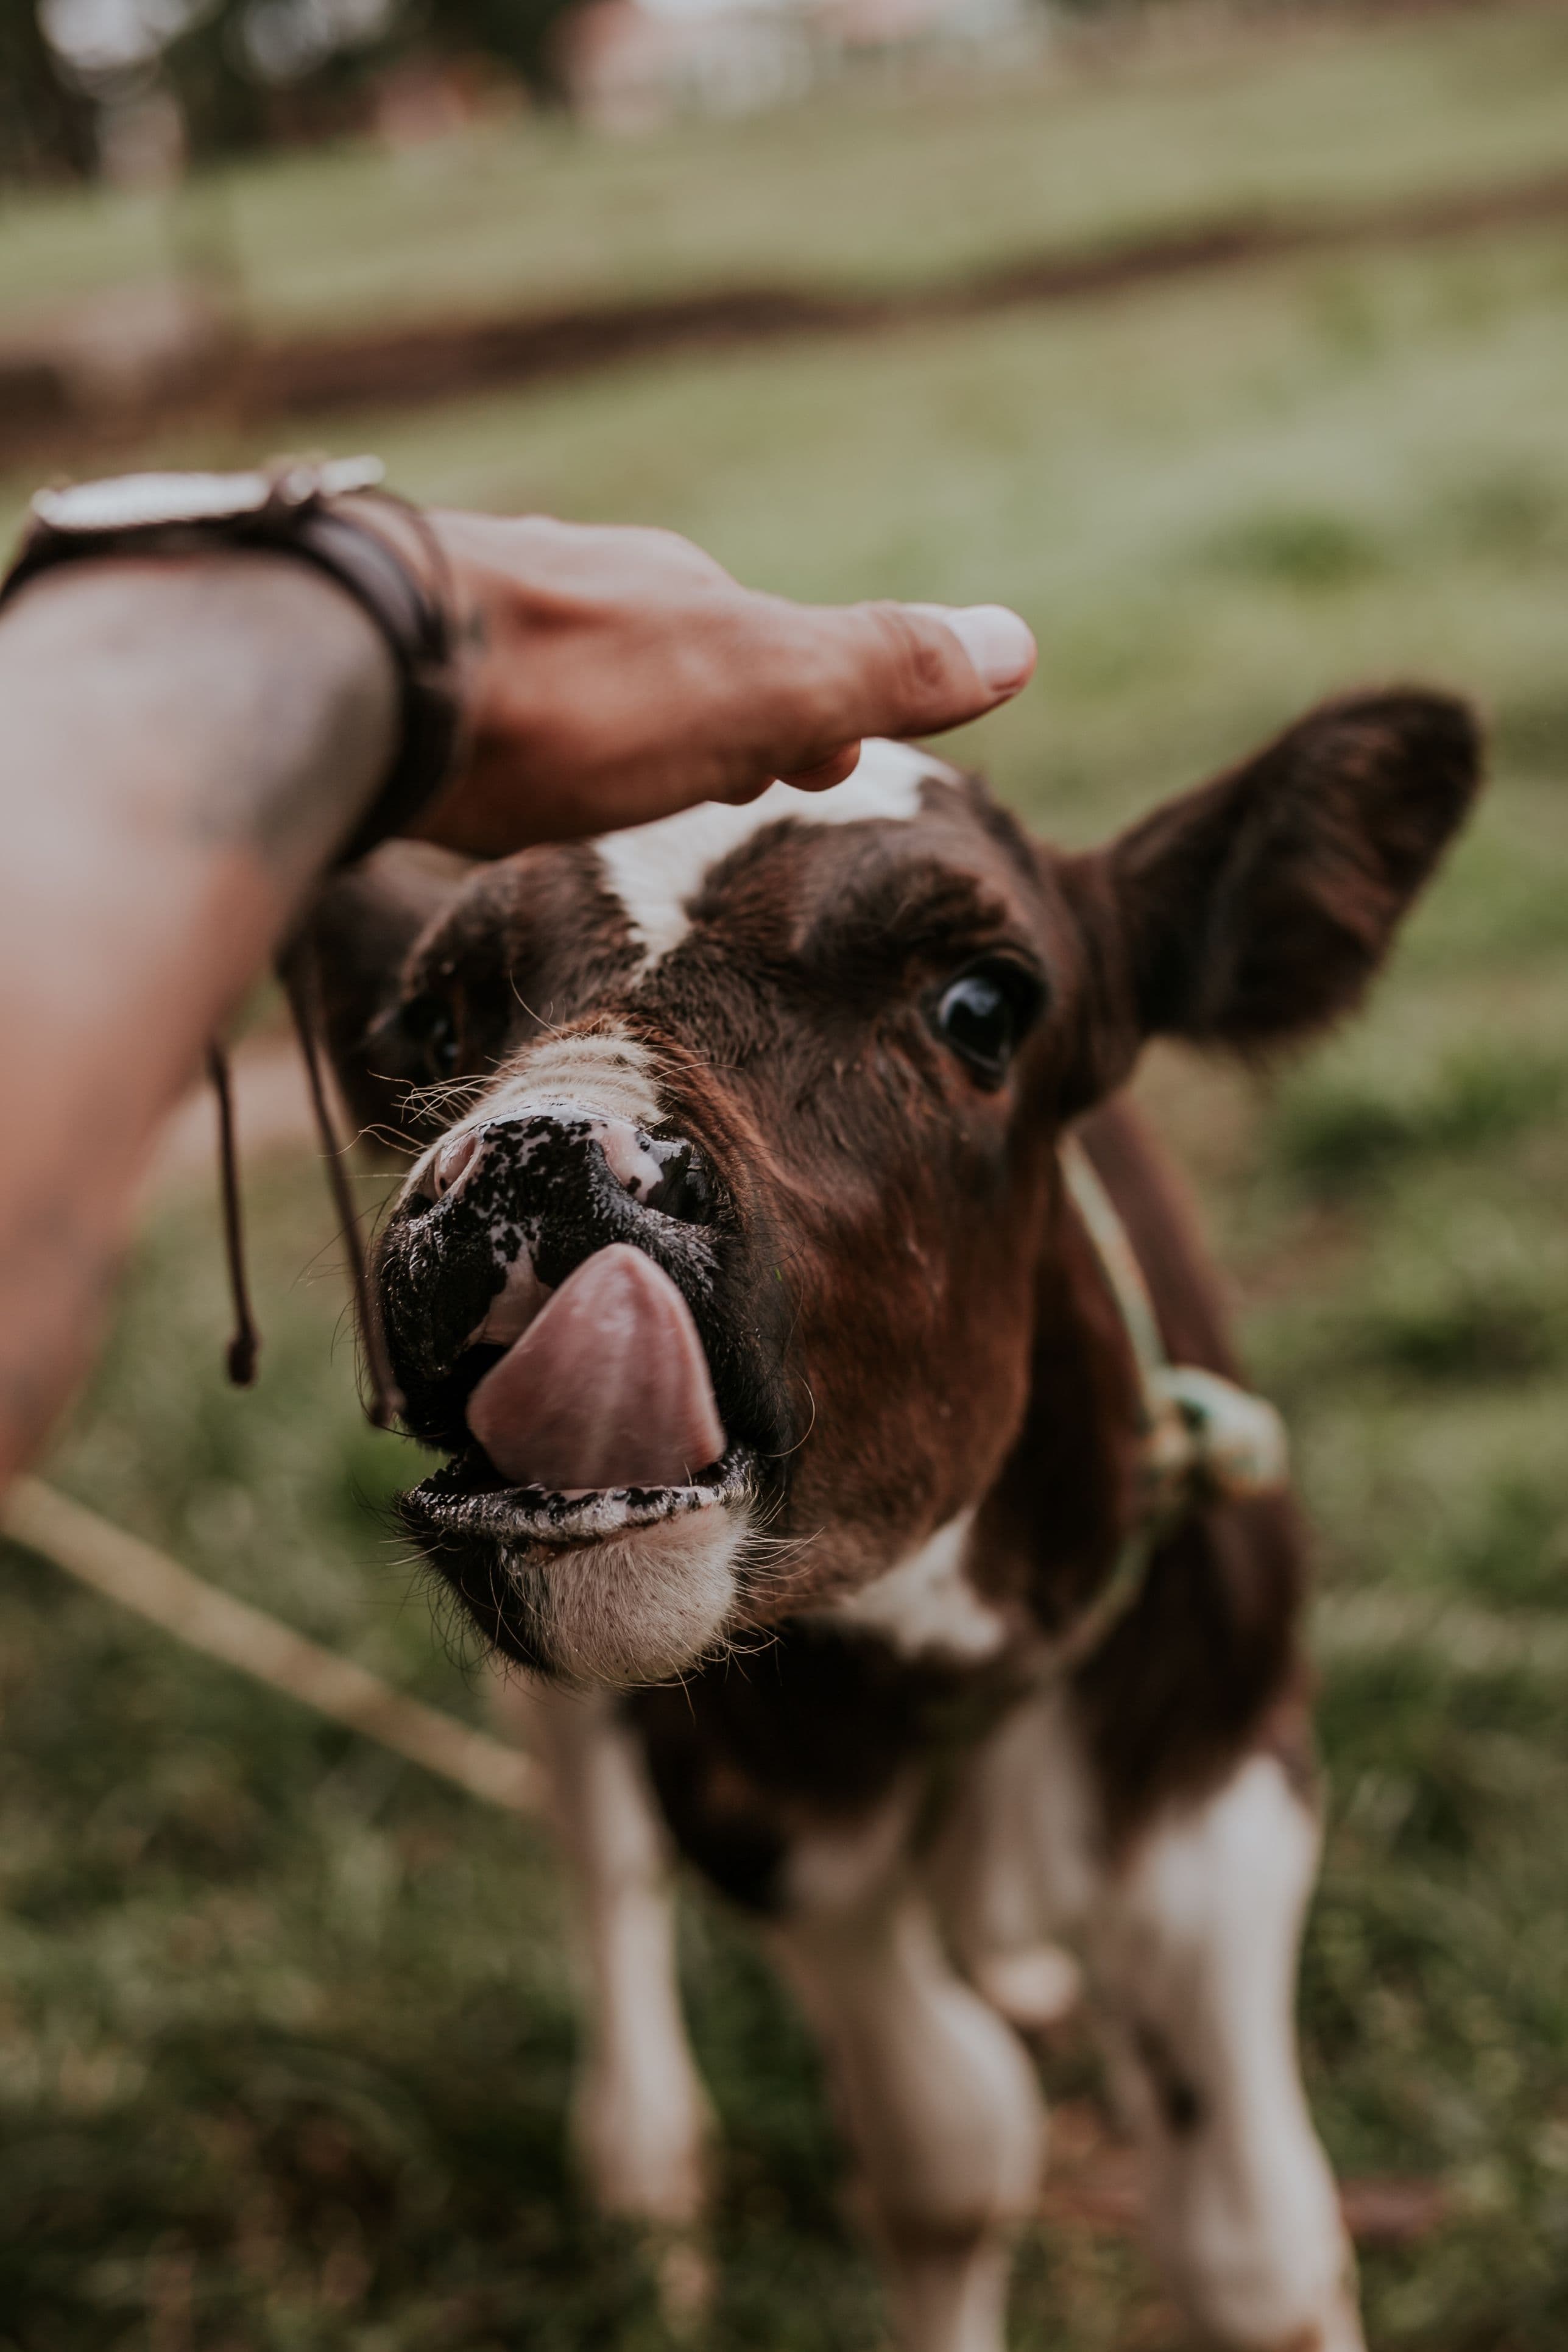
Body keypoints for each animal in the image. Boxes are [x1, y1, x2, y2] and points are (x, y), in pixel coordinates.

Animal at [306, 688, 1479, 2352]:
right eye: (440, 1023)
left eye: (983, 1003)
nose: (532, 1158)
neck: (951, 1636)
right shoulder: (758, 1810)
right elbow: (949, 2151)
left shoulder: (1224, 1768)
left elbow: (1253, 2248)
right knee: (592, 1829)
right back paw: (643, 2154)